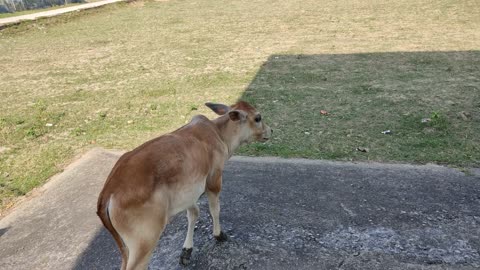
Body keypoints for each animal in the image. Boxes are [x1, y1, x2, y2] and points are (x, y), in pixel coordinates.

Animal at [95, 100, 272, 270]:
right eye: (258, 118)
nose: (270, 131)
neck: (219, 134)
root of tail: (108, 192)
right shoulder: (214, 179)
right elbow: (214, 210)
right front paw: (219, 235)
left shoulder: (188, 191)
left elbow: (194, 213)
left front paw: (186, 251)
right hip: (144, 241)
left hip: (127, 247)